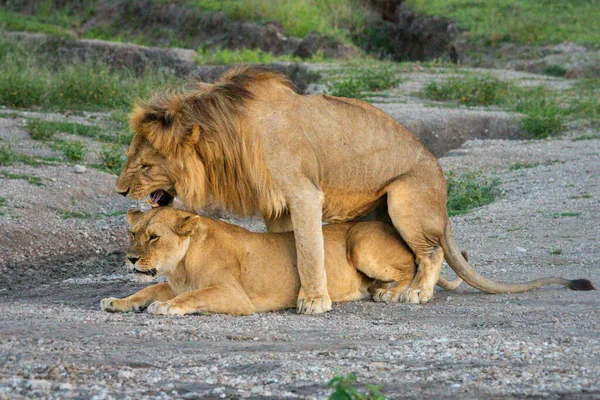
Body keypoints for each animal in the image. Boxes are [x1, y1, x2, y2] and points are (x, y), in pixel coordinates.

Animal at [101, 206, 462, 316]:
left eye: (154, 237)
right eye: (133, 233)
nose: (131, 258)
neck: (181, 265)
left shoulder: (235, 296)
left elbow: (193, 297)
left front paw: (166, 308)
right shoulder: (172, 283)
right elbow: (146, 291)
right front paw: (117, 301)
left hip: (361, 240)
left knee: (415, 263)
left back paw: (397, 292)